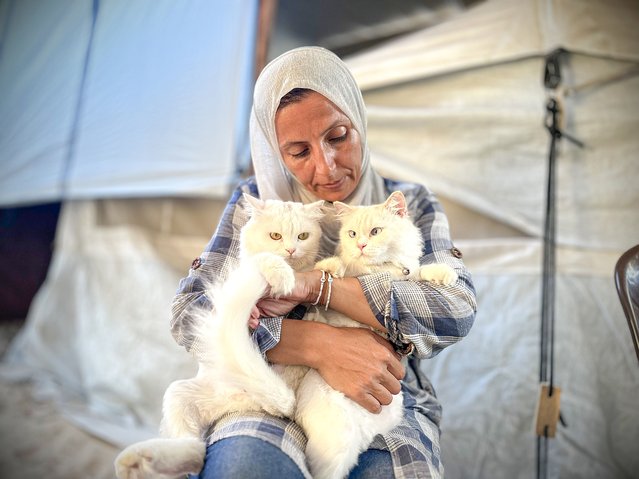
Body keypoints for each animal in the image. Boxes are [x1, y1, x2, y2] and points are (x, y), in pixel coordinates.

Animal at [114, 194, 324, 479]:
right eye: (275, 235)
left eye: (303, 236)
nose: (291, 250)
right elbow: (264, 260)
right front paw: (281, 275)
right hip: (180, 394)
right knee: (194, 450)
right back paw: (136, 461)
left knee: (197, 453)